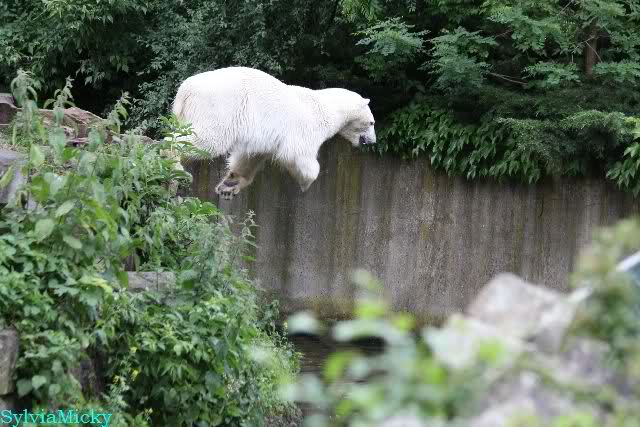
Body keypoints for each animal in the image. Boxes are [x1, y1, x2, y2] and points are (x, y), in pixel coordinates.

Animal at [172, 67, 376, 199]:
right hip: (220, 108)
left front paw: (229, 185)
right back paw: (176, 166)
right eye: (371, 122)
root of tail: (185, 90)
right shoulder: (306, 127)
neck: (327, 107)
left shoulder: (261, 139)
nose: (372, 141)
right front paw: (305, 182)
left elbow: (250, 157)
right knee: (206, 140)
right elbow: (298, 155)